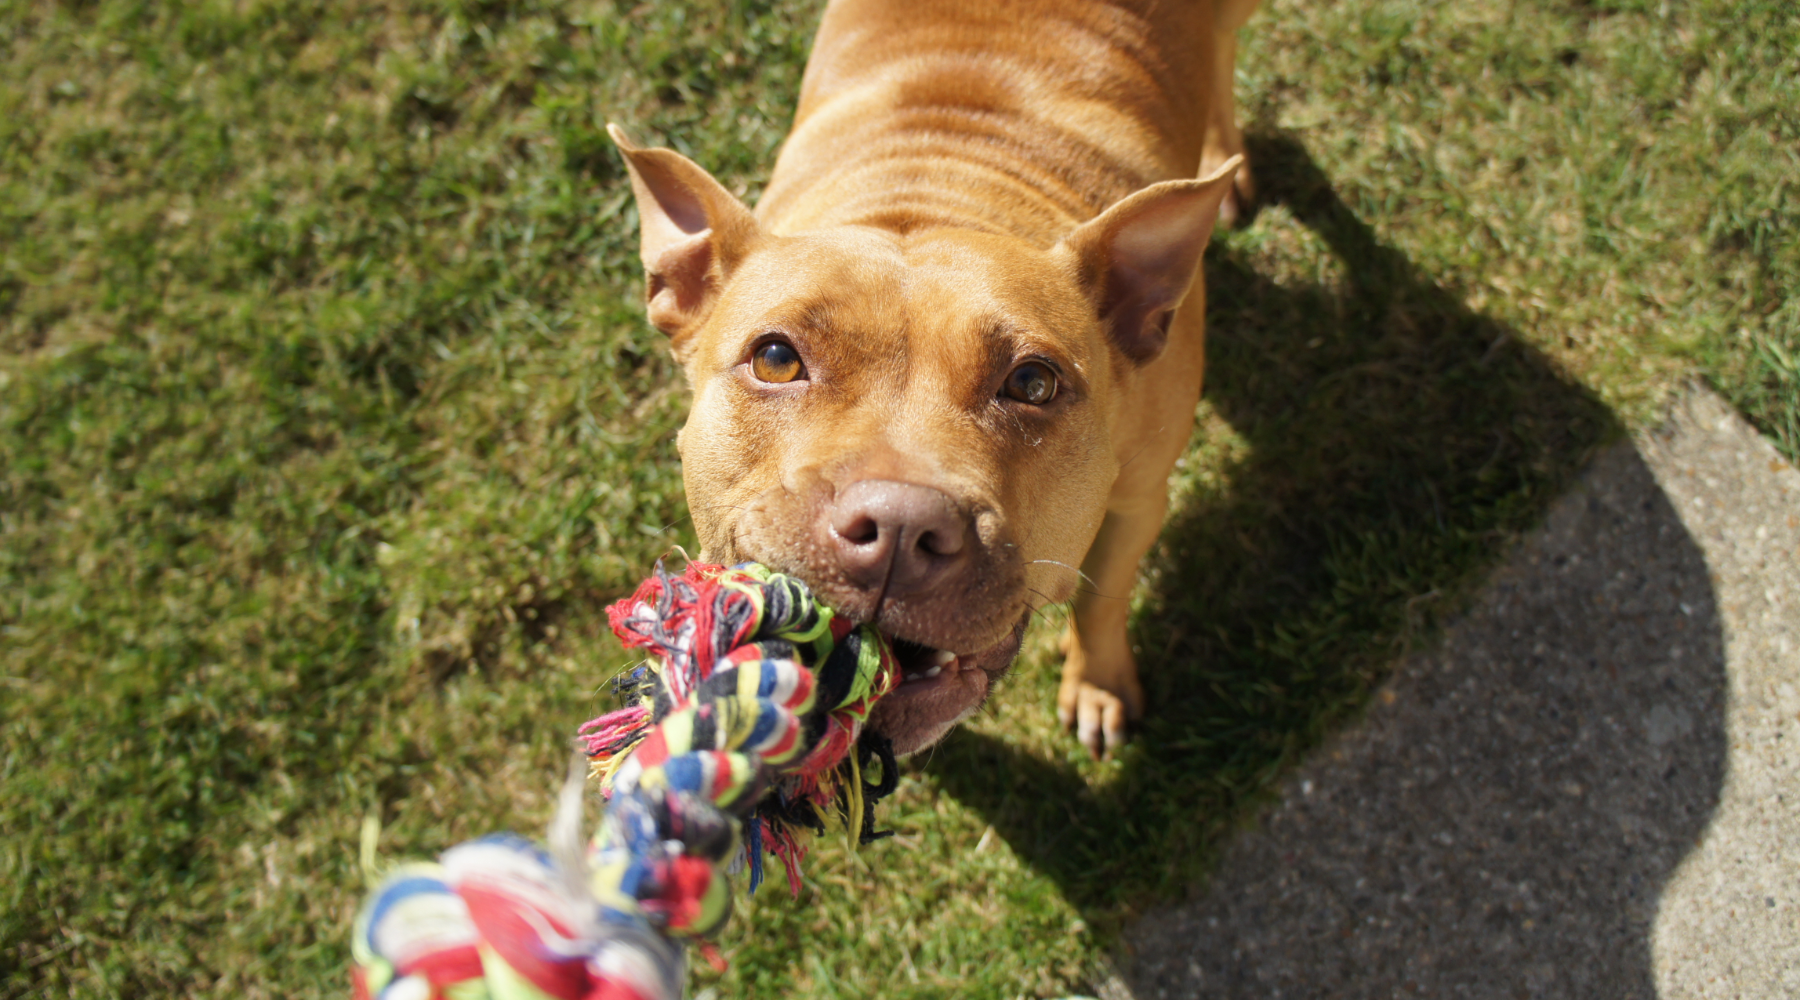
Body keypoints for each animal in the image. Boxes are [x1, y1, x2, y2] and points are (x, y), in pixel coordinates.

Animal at [604, 0, 1252, 758]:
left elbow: (1099, 599)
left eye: (1033, 384)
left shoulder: (1141, 498)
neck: (938, 186)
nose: (898, 526)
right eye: (775, 359)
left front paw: (1097, 684)